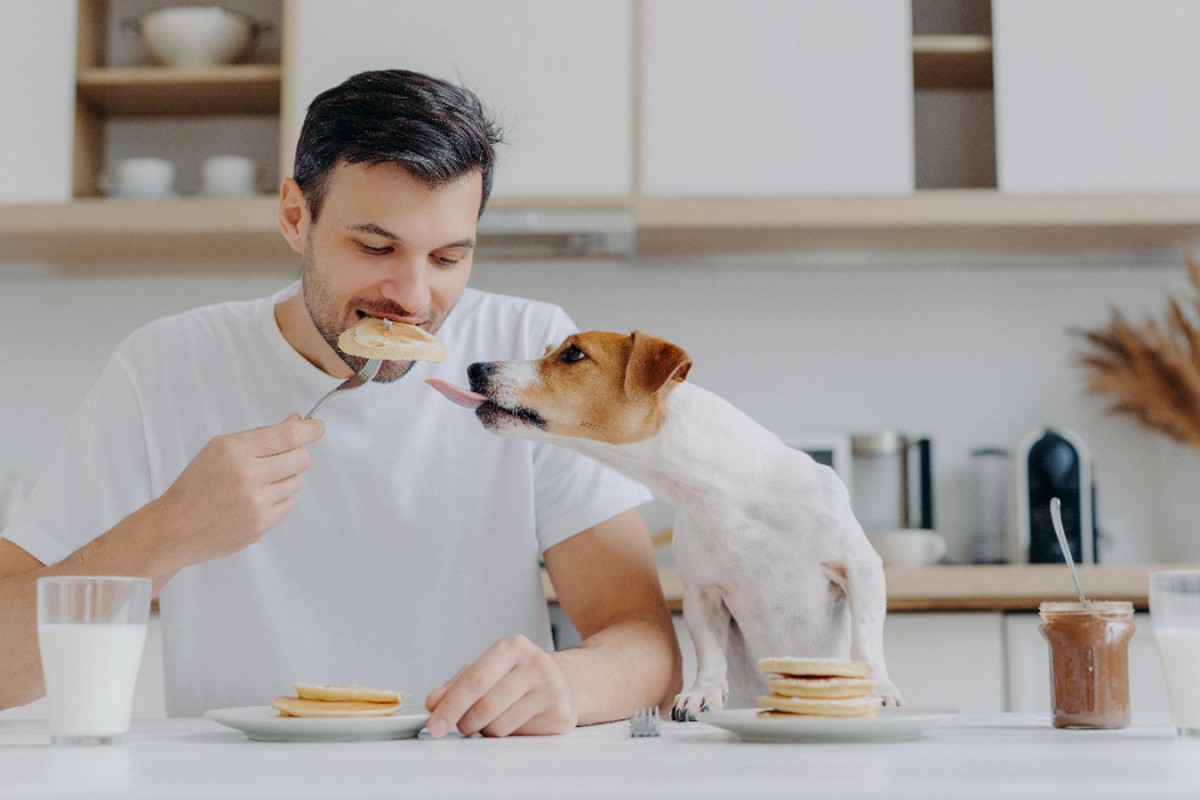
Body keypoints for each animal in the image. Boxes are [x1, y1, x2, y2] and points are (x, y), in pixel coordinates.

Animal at [429, 328, 902, 714]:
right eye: (549, 351)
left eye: (573, 354)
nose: (474, 366)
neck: (726, 495)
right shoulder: (702, 594)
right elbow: (709, 651)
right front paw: (701, 693)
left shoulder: (860, 567)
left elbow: (866, 637)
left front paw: (879, 687)